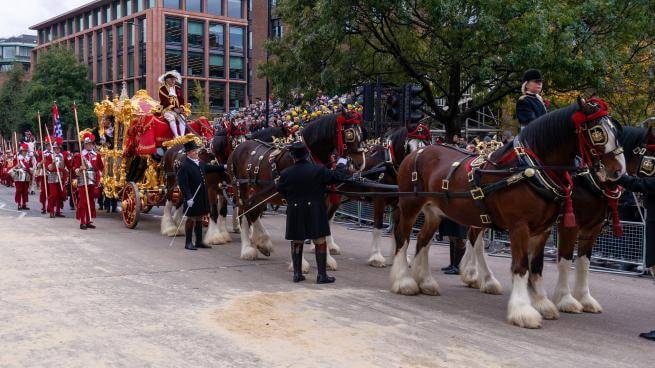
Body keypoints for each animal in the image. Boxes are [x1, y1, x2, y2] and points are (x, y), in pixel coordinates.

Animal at [390, 99, 624, 330]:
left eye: (616, 130)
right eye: (597, 132)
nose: (618, 171)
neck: (529, 170)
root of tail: (418, 153)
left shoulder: (545, 230)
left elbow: (537, 267)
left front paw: (542, 302)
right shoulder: (522, 227)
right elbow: (522, 265)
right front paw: (523, 310)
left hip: (435, 212)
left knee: (424, 240)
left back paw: (427, 281)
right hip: (410, 205)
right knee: (403, 237)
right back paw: (404, 281)